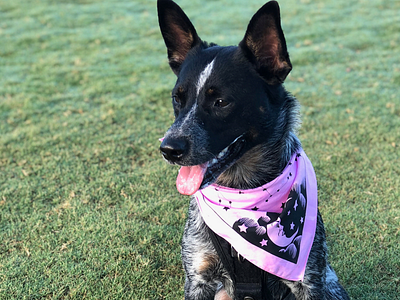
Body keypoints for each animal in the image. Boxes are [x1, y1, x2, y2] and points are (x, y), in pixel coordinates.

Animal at [156, 1, 350, 298]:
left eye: (221, 102)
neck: (241, 191)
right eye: (177, 98)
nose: (168, 148)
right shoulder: (198, 278)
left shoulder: (310, 281)